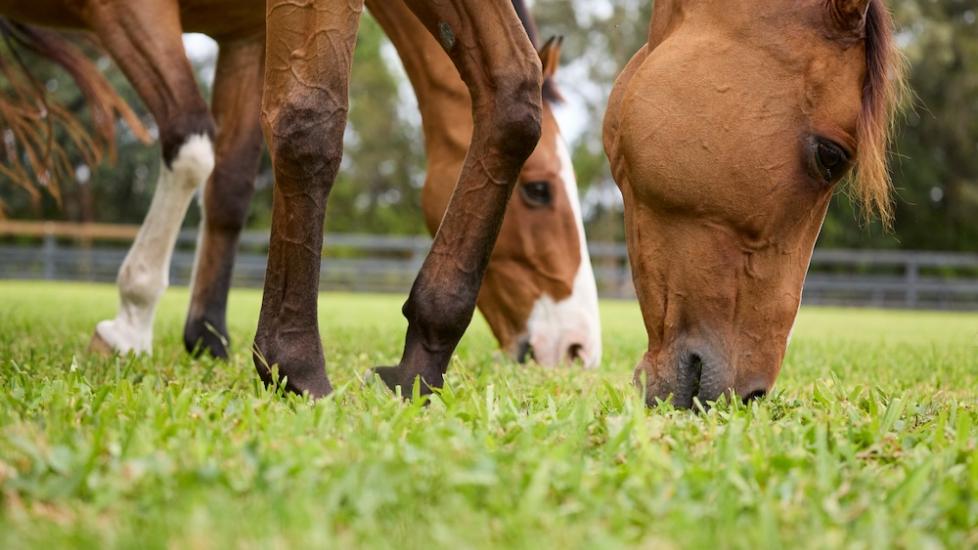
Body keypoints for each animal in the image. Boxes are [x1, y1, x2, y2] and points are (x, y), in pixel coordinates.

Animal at [0, 0, 601, 370]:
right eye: (539, 190)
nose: (578, 348)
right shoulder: (127, 9)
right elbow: (192, 148)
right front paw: (131, 322)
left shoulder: (245, 36)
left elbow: (230, 189)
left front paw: (207, 336)